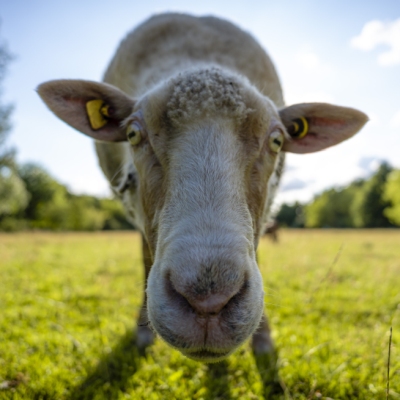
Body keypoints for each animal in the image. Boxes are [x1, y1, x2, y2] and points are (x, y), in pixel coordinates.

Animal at [36, 12, 366, 366]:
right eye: (133, 134)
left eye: (277, 140)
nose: (209, 302)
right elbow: (145, 258)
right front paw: (142, 332)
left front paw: (263, 340)